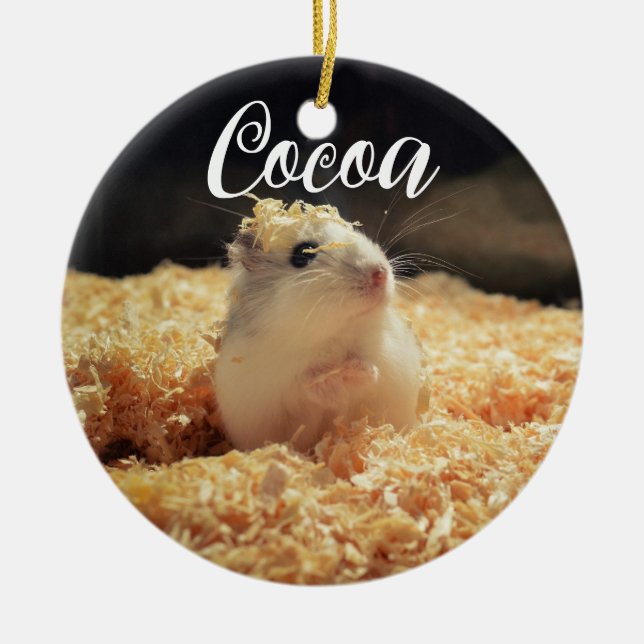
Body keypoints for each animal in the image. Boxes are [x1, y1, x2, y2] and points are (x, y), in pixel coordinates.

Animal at [213, 199, 422, 451]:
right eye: (303, 253)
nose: (380, 273)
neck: (331, 335)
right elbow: (305, 389)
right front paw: (328, 383)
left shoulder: (387, 359)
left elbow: (369, 371)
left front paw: (356, 371)